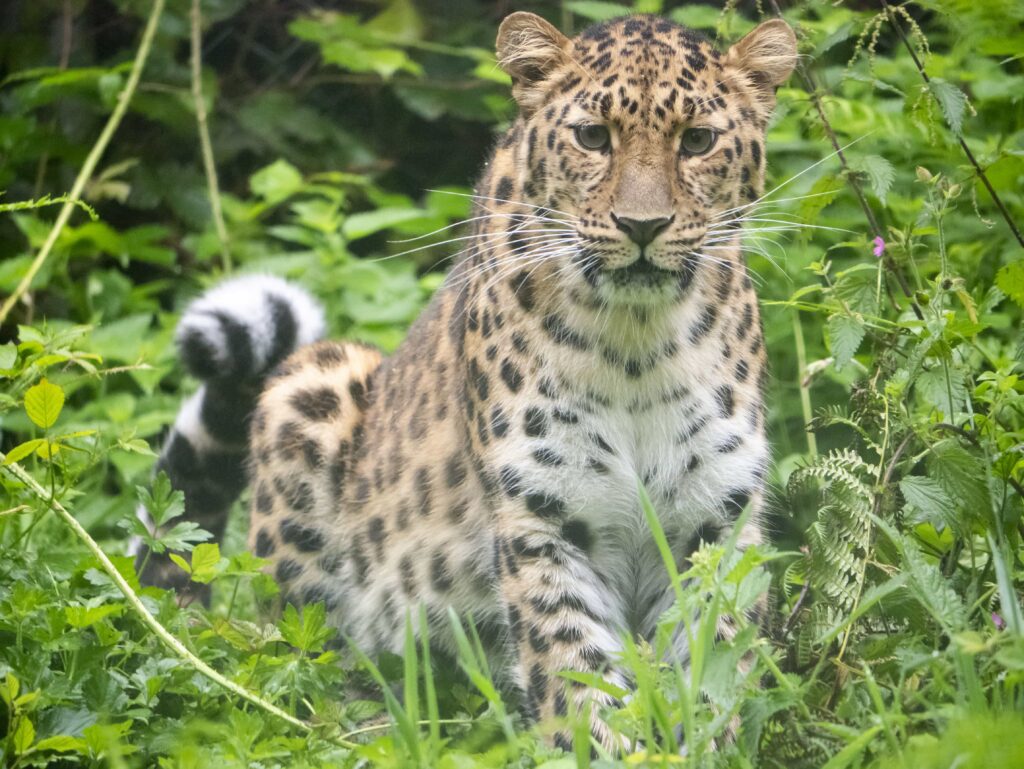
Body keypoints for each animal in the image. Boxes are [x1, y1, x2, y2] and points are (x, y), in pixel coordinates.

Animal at [139, 11, 797, 751]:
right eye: (593, 137)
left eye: (698, 141)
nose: (643, 226)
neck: (637, 344)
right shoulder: (543, 518)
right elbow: (575, 674)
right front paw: (601, 748)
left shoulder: (713, 518)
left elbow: (711, 668)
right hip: (312, 384)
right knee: (314, 668)